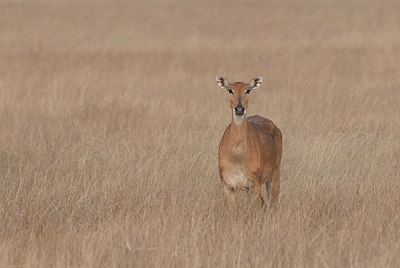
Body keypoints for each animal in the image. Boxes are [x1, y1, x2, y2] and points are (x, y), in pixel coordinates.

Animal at [217, 76, 282, 208]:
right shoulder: (228, 186)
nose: (239, 109)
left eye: (248, 90)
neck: (237, 157)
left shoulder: (255, 184)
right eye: (230, 90)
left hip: (274, 174)